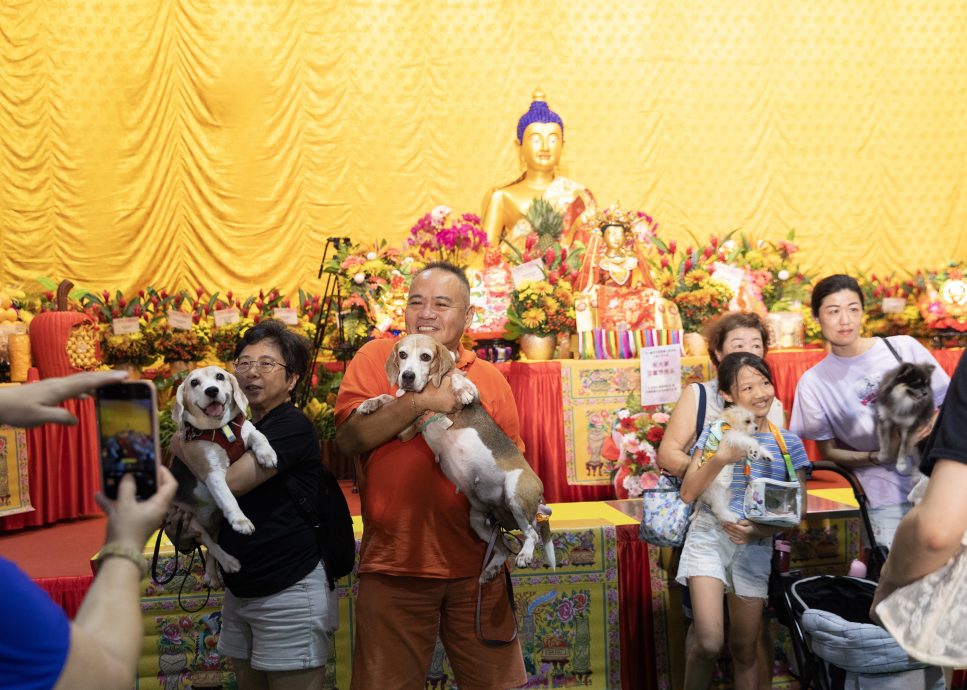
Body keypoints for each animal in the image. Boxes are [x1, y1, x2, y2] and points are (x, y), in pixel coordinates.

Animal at [167, 362, 276, 584]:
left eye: (219, 377)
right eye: (194, 382)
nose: (212, 391)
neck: (221, 428)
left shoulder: (247, 431)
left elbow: (259, 436)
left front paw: (267, 454)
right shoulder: (212, 473)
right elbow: (228, 498)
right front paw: (241, 521)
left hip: (215, 522)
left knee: (211, 548)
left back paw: (212, 575)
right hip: (190, 520)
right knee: (210, 543)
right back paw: (228, 562)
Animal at [358, 334, 556, 580]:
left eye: (426, 357)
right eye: (402, 354)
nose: (407, 377)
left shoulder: (472, 392)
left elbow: (456, 378)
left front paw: (461, 390)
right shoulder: (406, 430)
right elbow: (389, 398)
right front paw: (370, 402)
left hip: (515, 494)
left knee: (532, 533)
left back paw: (525, 555)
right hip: (478, 519)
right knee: (503, 548)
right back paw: (490, 570)